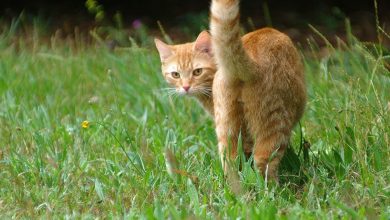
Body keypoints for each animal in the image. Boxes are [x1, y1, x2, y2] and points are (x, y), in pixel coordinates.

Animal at [155, 0, 304, 180]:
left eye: (197, 72)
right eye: (175, 74)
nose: (185, 87)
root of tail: (251, 63)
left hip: (227, 126)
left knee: (230, 161)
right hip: (274, 122)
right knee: (263, 160)